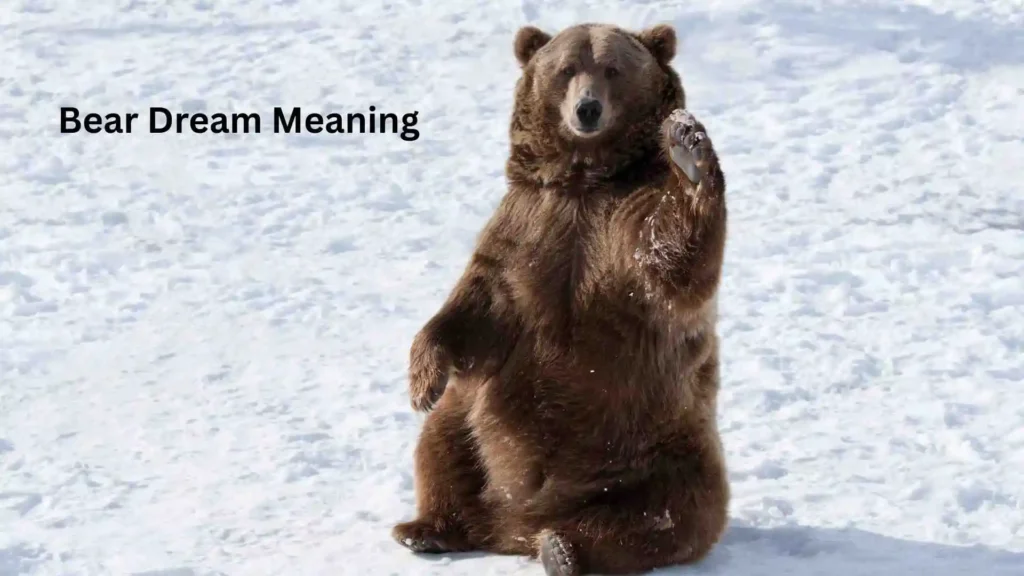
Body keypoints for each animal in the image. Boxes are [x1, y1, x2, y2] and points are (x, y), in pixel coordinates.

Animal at [392, 21, 730, 576]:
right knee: (442, 447)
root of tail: (515, 527)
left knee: (668, 514)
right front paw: (422, 382)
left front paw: (687, 148)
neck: (583, 180)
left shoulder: (622, 224)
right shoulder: (527, 224)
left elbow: (672, 262)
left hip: (661, 449)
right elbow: (477, 304)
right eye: (566, 68)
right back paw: (427, 527)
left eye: (612, 68)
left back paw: (564, 549)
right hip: (472, 423)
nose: (587, 109)